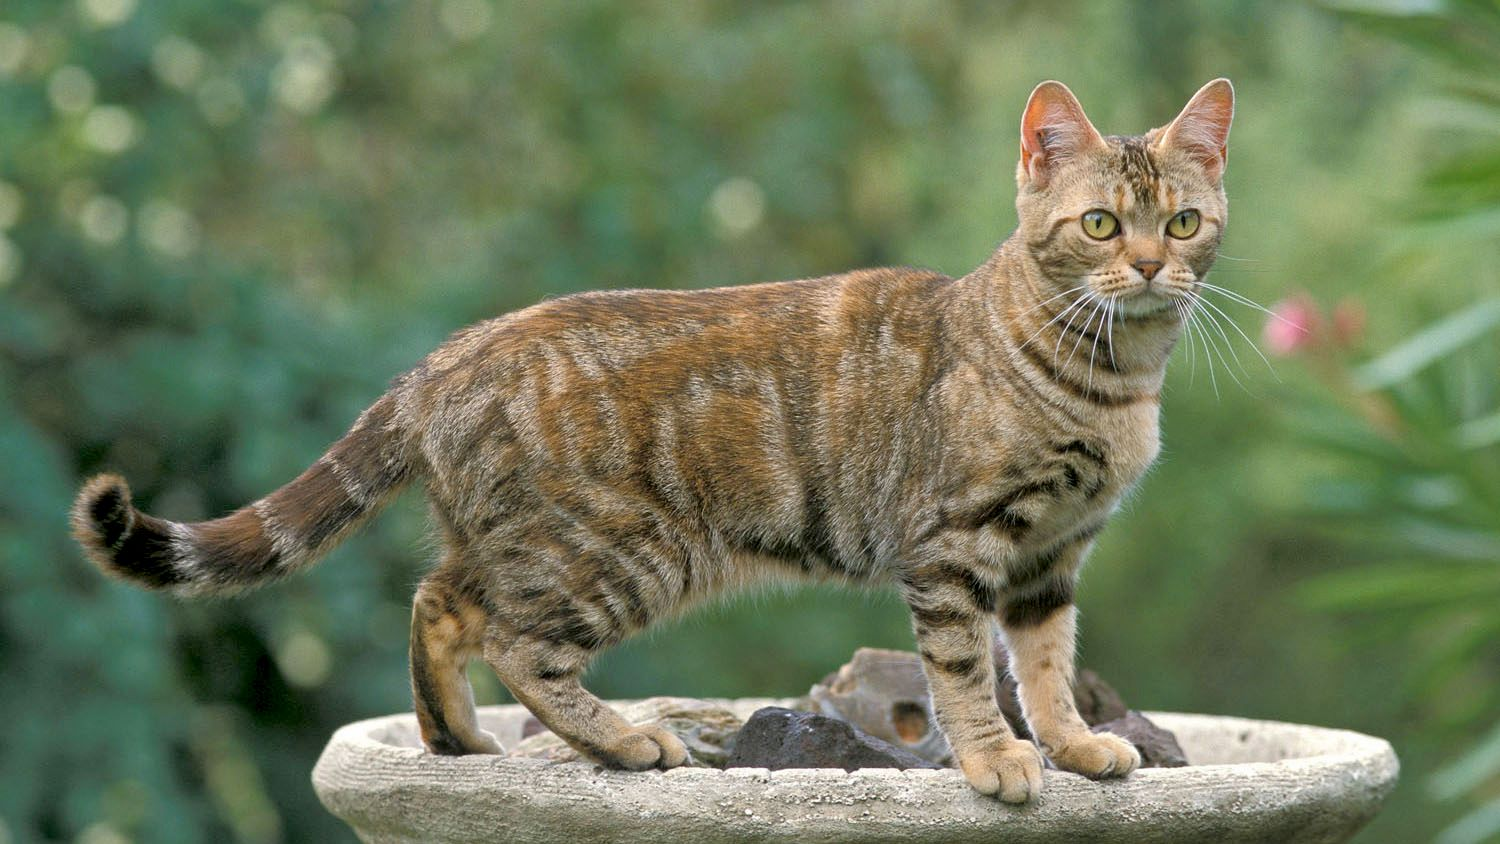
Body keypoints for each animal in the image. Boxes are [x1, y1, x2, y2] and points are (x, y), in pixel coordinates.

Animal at [73, 80, 1230, 803]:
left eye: (1182, 223)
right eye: (1098, 225)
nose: (1147, 268)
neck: (1109, 382)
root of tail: (443, 360)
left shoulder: (1051, 558)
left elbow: (1045, 665)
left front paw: (1075, 746)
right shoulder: (956, 545)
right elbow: (963, 672)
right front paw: (997, 763)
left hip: (524, 545)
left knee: (439, 600)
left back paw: (455, 737)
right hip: (619, 552)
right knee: (516, 644)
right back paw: (626, 738)